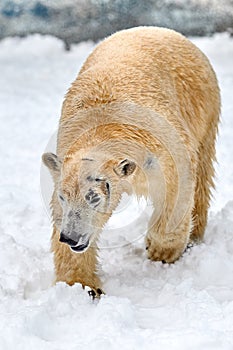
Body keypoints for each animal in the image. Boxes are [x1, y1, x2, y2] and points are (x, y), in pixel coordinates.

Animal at [42, 26, 220, 296]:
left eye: (94, 197)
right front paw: (82, 286)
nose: (70, 237)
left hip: (202, 103)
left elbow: (177, 187)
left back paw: (194, 236)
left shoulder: (161, 149)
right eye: (64, 196)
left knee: (202, 174)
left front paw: (160, 250)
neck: (105, 125)